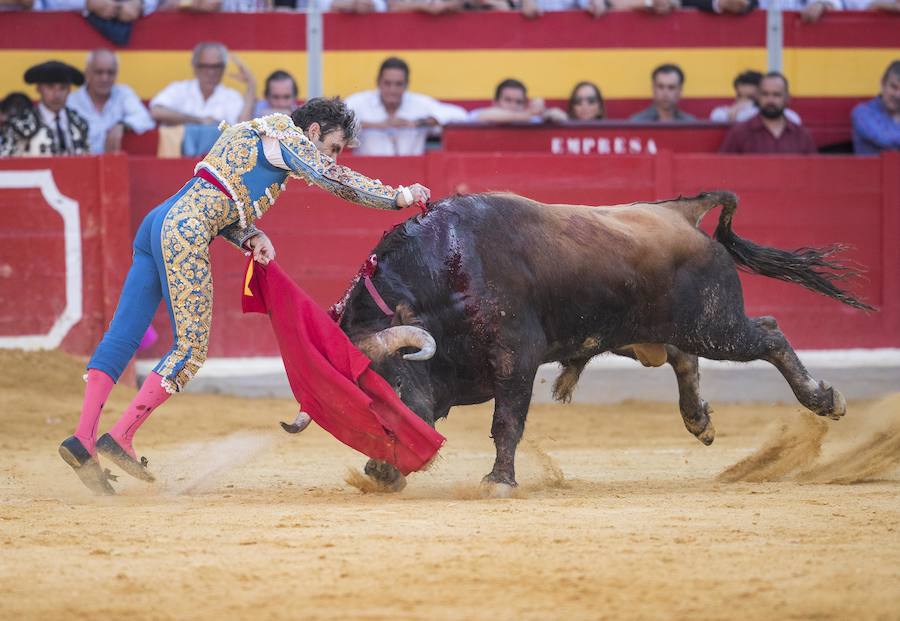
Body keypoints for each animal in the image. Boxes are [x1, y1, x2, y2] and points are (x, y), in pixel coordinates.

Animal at [332, 191, 872, 492]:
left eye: (387, 387)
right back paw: (698, 420)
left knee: (769, 334)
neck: (447, 269)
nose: (377, 470)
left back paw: (824, 399)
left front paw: (498, 482)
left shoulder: (516, 357)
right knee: (683, 357)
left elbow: (506, 421)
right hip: (648, 332)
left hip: (714, 324)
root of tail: (681, 214)